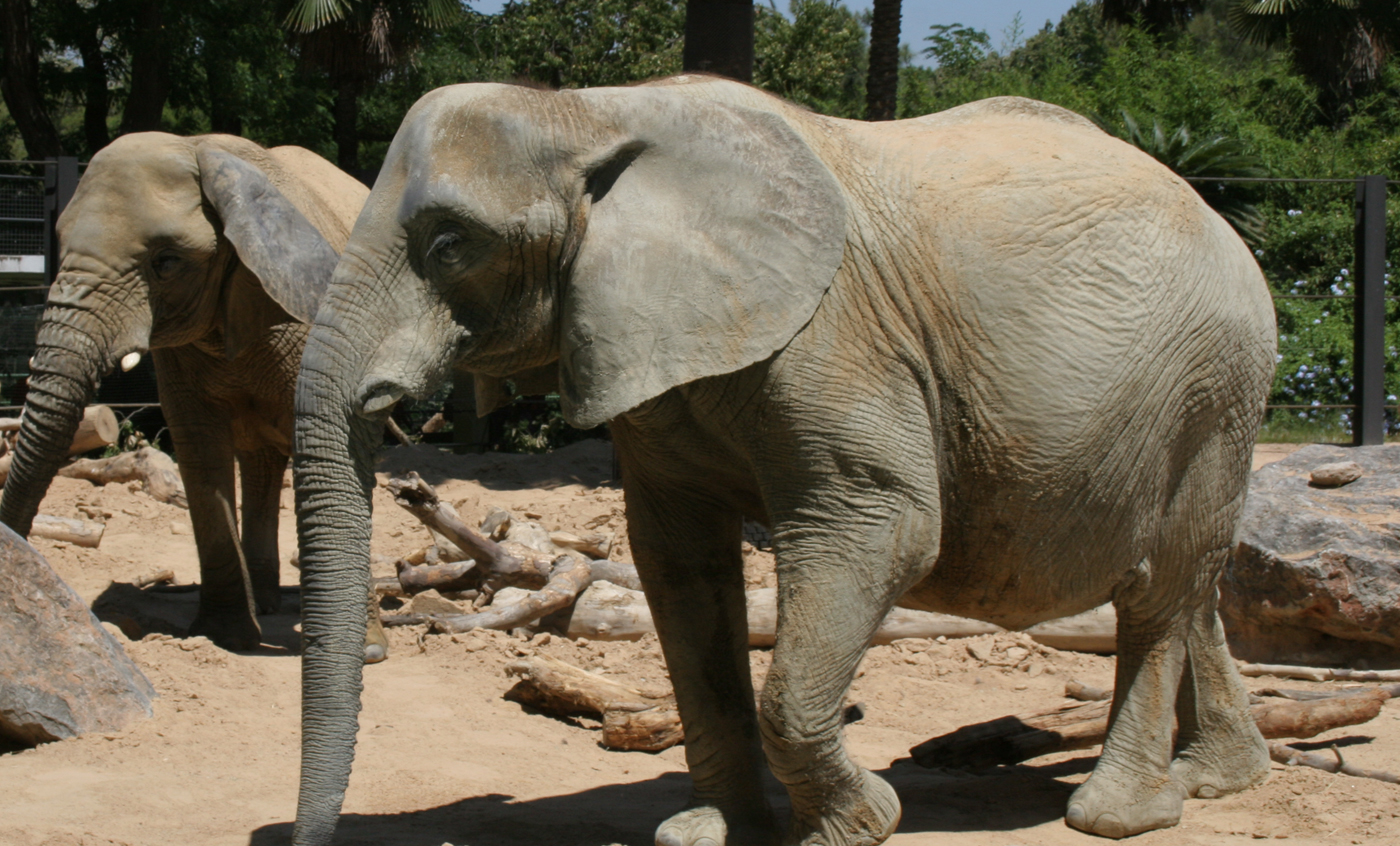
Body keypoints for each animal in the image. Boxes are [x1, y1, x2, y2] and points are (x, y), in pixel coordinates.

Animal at [0, 133, 389, 661]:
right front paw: (224, 637)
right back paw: (265, 604)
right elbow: (200, 453)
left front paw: (368, 653)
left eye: (166, 262)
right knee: (260, 462)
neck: (201, 149)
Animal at [289, 75, 1276, 840]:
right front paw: (709, 831)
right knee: (1190, 588)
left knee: (1160, 588)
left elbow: (884, 529)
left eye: (451, 246)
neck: (589, 111)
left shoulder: (837, 336)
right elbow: (678, 562)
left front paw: (863, 824)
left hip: (1213, 390)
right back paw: (1220, 779)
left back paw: (1120, 815)